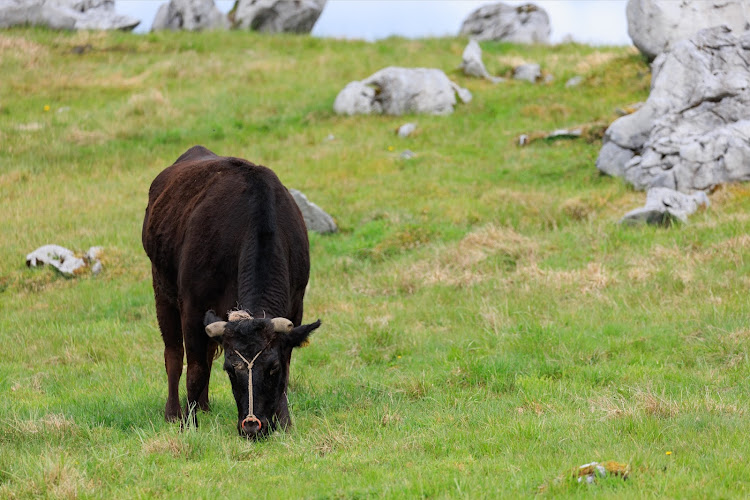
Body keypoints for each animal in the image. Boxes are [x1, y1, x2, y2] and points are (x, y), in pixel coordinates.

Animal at [142, 145, 322, 438]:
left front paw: (284, 422)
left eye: (271, 368)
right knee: (174, 355)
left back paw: (204, 407)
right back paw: (174, 412)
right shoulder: (193, 307)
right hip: (162, 291)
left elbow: (287, 365)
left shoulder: (297, 304)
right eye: (230, 370)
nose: (252, 425)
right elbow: (196, 369)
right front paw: (189, 424)